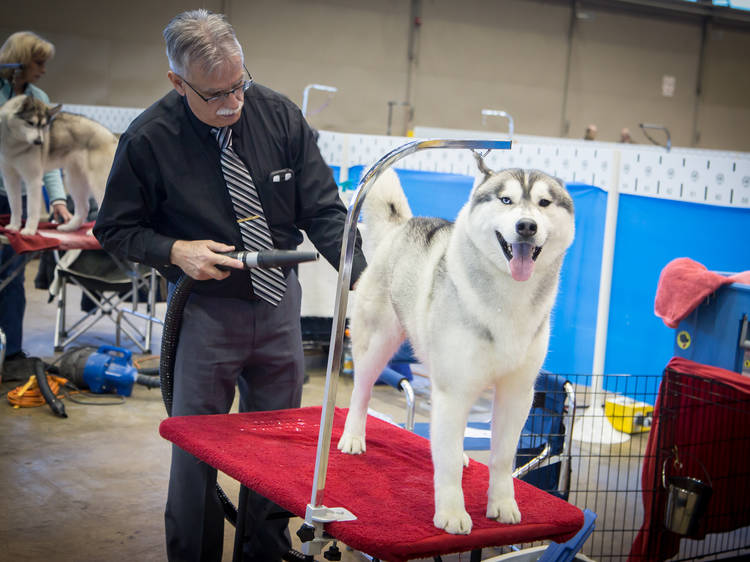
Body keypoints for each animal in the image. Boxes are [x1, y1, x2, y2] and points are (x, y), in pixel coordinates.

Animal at [0, 94, 117, 234]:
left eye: (44, 125)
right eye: (30, 123)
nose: (39, 142)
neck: (14, 144)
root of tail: (112, 137)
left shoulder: (33, 180)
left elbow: (32, 209)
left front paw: (29, 230)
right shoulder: (10, 179)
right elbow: (15, 206)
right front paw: (14, 226)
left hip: (98, 182)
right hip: (74, 181)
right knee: (84, 208)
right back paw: (69, 227)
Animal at [338, 154, 580, 532]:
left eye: (543, 203)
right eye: (506, 200)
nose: (526, 226)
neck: (508, 297)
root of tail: (402, 226)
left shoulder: (517, 392)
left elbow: (502, 457)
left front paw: (502, 504)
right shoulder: (454, 387)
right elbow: (447, 461)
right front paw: (451, 513)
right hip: (376, 344)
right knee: (361, 392)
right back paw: (353, 436)